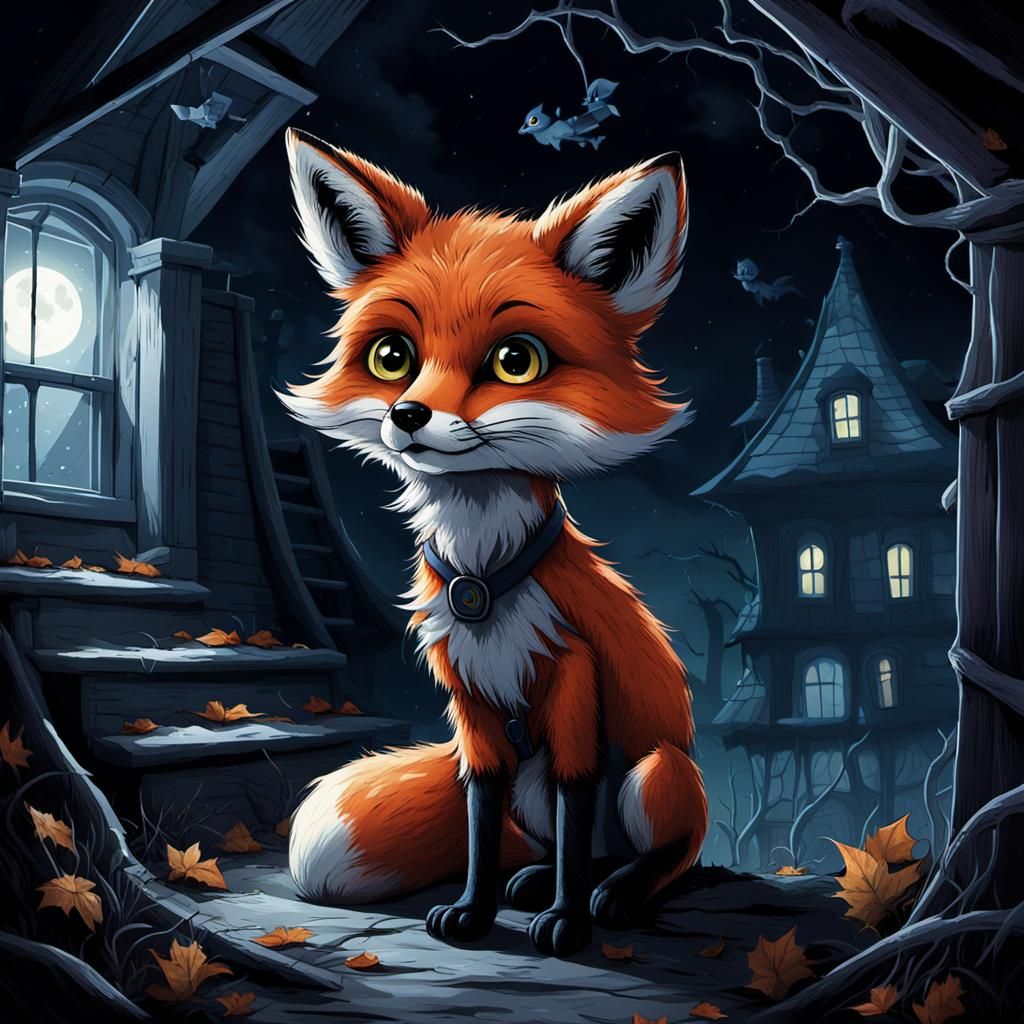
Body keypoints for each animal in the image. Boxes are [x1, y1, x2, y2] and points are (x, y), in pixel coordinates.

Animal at [278, 127, 708, 958]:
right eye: (392, 357)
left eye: (516, 360)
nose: (408, 416)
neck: (484, 580)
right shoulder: (471, 703)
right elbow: (480, 813)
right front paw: (473, 913)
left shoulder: (574, 685)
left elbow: (578, 798)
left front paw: (568, 924)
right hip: (541, 783)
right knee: (559, 842)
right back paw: (540, 881)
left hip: (653, 772)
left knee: (666, 854)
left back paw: (614, 892)